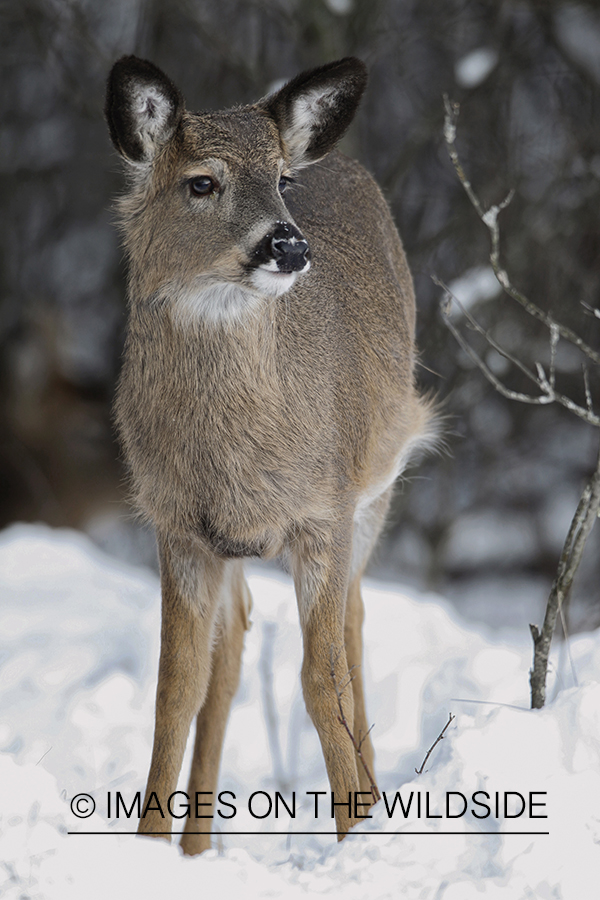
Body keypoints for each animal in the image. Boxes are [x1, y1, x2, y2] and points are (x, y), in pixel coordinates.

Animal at [105, 52, 434, 856]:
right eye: (201, 182)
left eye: (283, 180)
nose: (288, 244)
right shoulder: (177, 528)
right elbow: (176, 687)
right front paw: (148, 849)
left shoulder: (325, 514)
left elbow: (323, 680)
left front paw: (354, 837)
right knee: (230, 657)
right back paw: (197, 849)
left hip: (375, 494)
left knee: (352, 630)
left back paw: (372, 801)